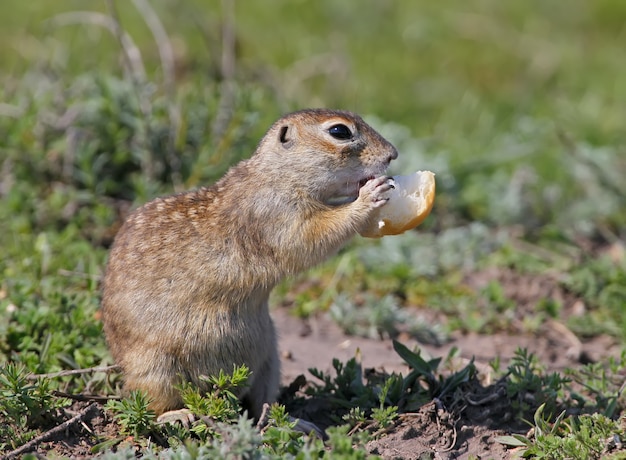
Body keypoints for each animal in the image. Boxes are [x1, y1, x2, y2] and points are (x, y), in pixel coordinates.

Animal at [100, 108, 398, 420]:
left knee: (260, 404)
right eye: (340, 132)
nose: (393, 154)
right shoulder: (275, 215)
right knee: (150, 401)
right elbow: (312, 236)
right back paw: (176, 415)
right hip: (154, 369)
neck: (275, 175)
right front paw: (369, 196)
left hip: (270, 359)